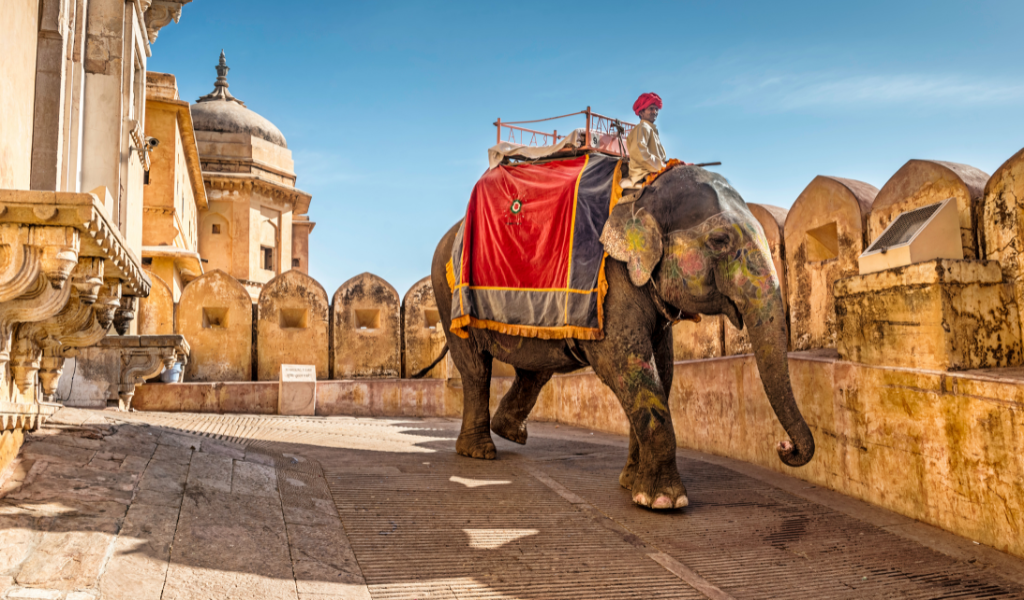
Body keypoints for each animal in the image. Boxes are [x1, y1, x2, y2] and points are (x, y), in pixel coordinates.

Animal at [426, 165, 814, 510]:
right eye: (720, 240)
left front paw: (632, 484)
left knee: (535, 370)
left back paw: (510, 433)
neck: (644, 193)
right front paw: (663, 501)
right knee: (476, 369)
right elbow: (628, 364)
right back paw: (480, 451)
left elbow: (662, 369)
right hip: (448, 295)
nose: (784, 447)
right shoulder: (612, 280)